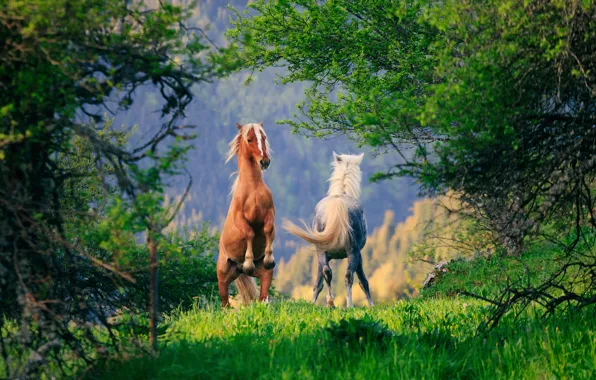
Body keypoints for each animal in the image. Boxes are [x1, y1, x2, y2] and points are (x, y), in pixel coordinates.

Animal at [218, 123, 276, 308]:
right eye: (249, 139)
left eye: (263, 137)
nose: (264, 161)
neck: (253, 189)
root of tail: (238, 269)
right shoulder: (240, 218)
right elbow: (250, 232)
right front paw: (249, 262)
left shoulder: (270, 213)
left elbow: (268, 229)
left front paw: (269, 258)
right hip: (222, 278)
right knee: (224, 304)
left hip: (265, 276)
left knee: (262, 297)